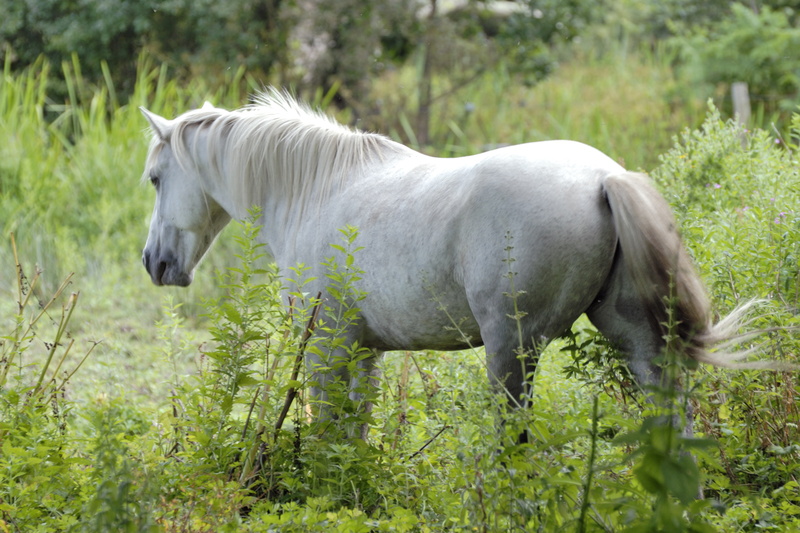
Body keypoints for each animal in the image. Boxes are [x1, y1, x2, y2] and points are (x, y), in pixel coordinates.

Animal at [141, 91, 760, 438]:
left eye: (154, 178)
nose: (154, 263)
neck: (318, 188)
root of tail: (604, 177)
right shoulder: (364, 351)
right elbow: (352, 432)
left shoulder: (326, 347)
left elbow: (324, 428)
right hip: (636, 343)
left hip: (511, 350)